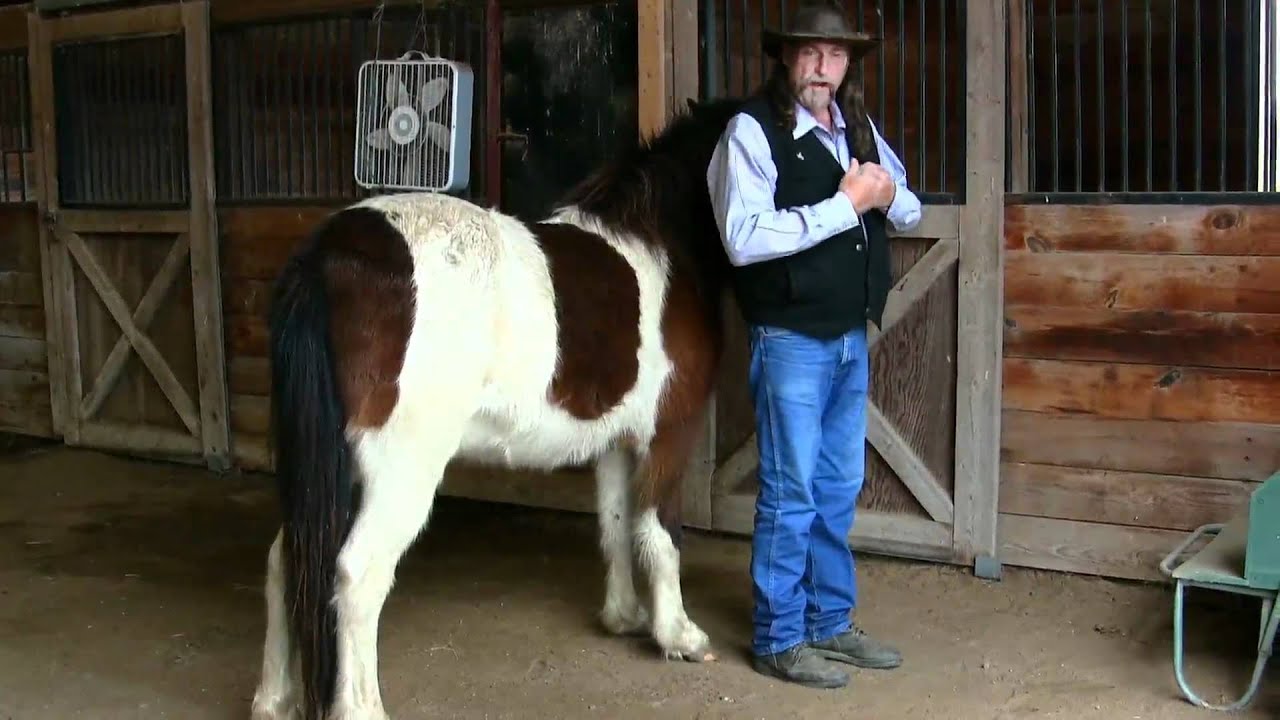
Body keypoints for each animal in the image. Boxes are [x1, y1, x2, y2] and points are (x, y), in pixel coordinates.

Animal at [249, 95, 746, 720]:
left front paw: (624, 617)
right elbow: (661, 532)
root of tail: (326, 254)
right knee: (356, 574)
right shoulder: (669, 434)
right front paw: (677, 635)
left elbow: (615, 523)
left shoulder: (613, 441)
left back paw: (273, 699)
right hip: (398, 471)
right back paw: (361, 708)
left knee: (286, 559)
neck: (660, 243)